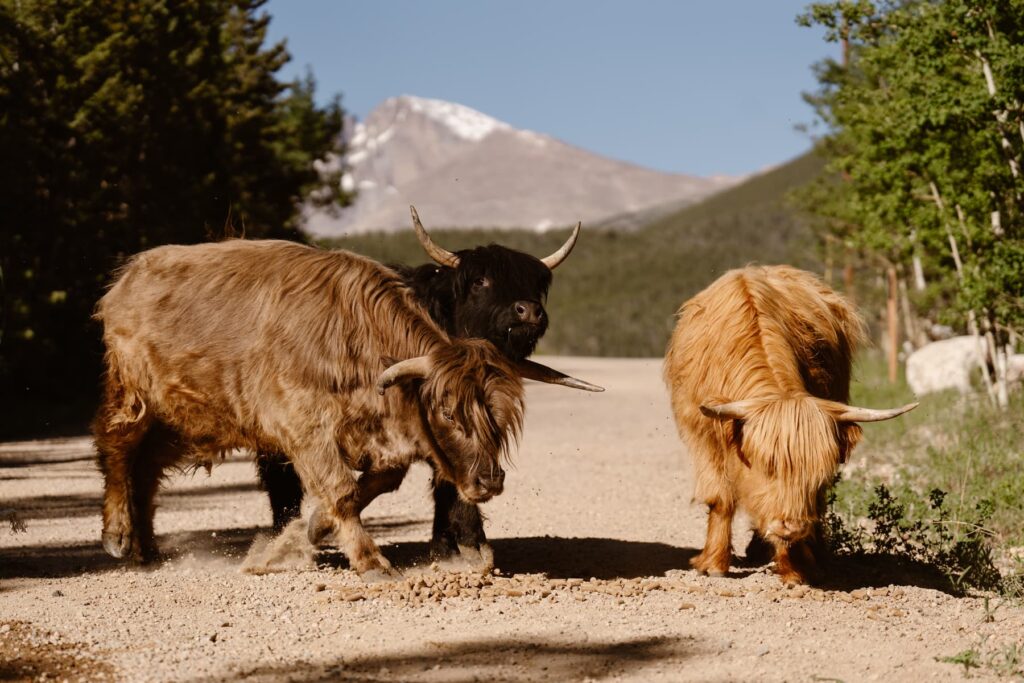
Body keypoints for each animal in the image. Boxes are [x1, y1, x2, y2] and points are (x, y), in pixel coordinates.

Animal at [663, 264, 921, 585]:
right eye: (767, 465)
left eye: (816, 472)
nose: (792, 526)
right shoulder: (702, 435)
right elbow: (720, 498)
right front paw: (713, 564)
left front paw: (796, 568)